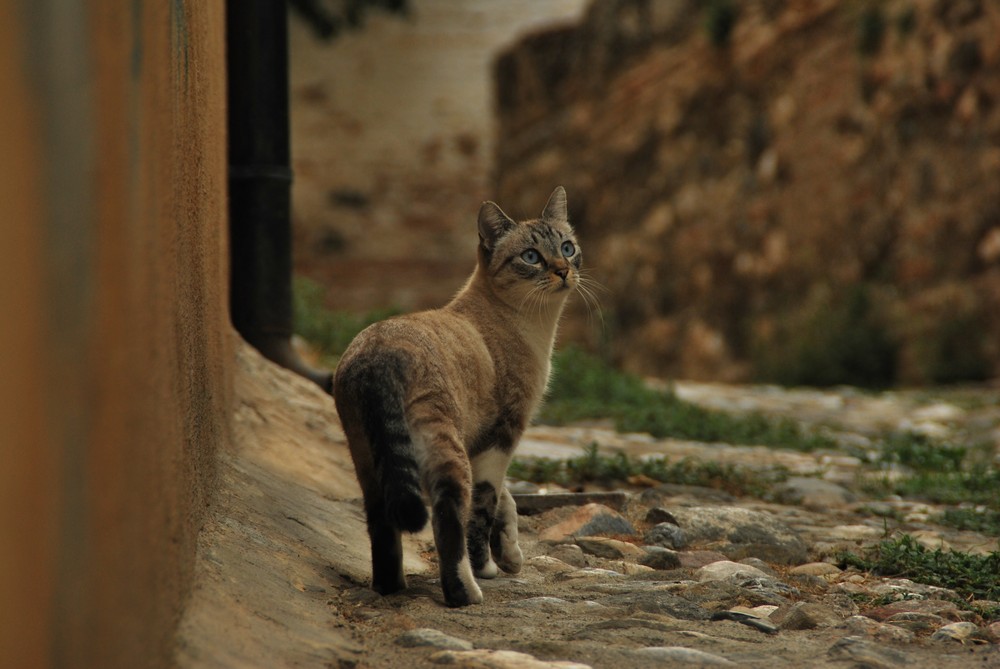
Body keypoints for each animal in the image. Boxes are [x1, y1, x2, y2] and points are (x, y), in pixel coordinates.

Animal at [332, 187, 584, 604]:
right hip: (446, 451)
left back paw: (391, 588)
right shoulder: (502, 437)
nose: (563, 270)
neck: (533, 327)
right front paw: (490, 567)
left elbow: (507, 500)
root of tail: (377, 355)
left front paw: (511, 555)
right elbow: (484, 510)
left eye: (567, 247)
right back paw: (465, 593)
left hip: (367, 459)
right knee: (448, 519)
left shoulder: (483, 444)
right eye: (531, 257)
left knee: (382, 526)